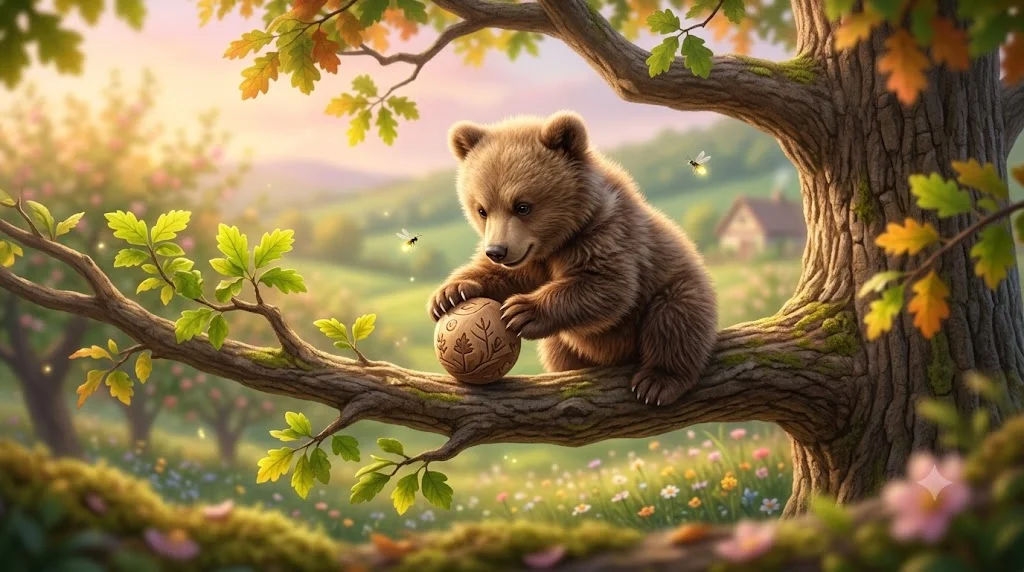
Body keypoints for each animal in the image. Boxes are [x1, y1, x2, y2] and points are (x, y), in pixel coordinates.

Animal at [427, 111, 718, 406]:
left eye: (522, 206)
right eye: (482, 210)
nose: (497, 251)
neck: (561, 238)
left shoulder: (608, 234)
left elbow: (607, 286)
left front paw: (522, 310)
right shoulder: (534, 259)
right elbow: (506, 276)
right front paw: (450, 294)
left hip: (677, 288)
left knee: (674, 318)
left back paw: (657, 382)